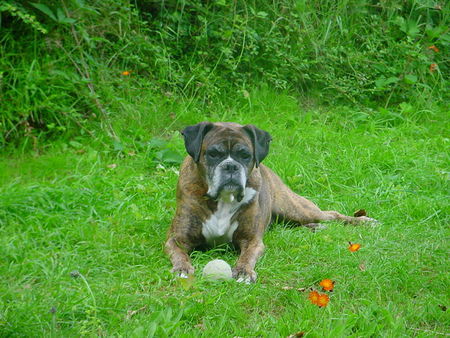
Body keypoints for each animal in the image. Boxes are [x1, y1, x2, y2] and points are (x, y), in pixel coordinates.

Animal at [165, 121, 376, 282]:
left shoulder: (252, 240)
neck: (223, 199)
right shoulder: (177, 239)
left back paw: (363, 221)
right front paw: (182, 269)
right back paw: (315, 227)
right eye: (213, 154)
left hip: (296, 208)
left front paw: (243, 271)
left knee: (331, 214)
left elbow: (247, 256)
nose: (231, 166)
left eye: (245, 155)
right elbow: (179, 253)